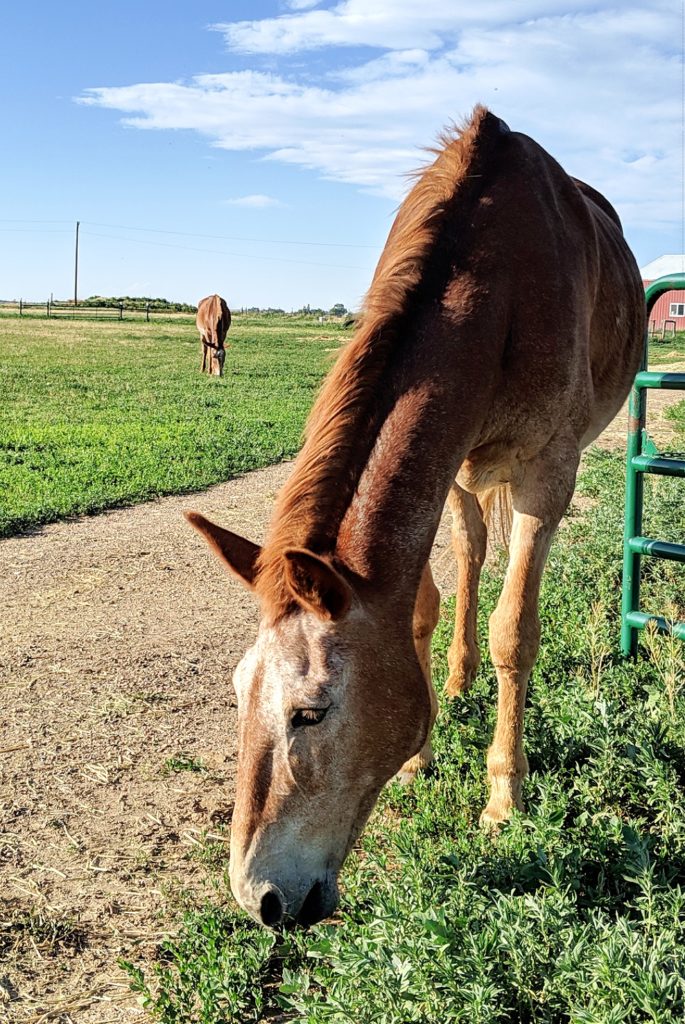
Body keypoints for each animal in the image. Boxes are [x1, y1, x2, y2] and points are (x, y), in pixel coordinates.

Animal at [185, 108, 643, 933]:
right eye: (237, 694)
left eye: (309, 714)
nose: (259, 897)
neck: (493, 283)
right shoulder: (446, 462)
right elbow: (422, 606)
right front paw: (421, 755)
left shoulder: (547, 475)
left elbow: (514, 632)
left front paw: (502, 800)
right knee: (469, 551)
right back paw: (457, 681)